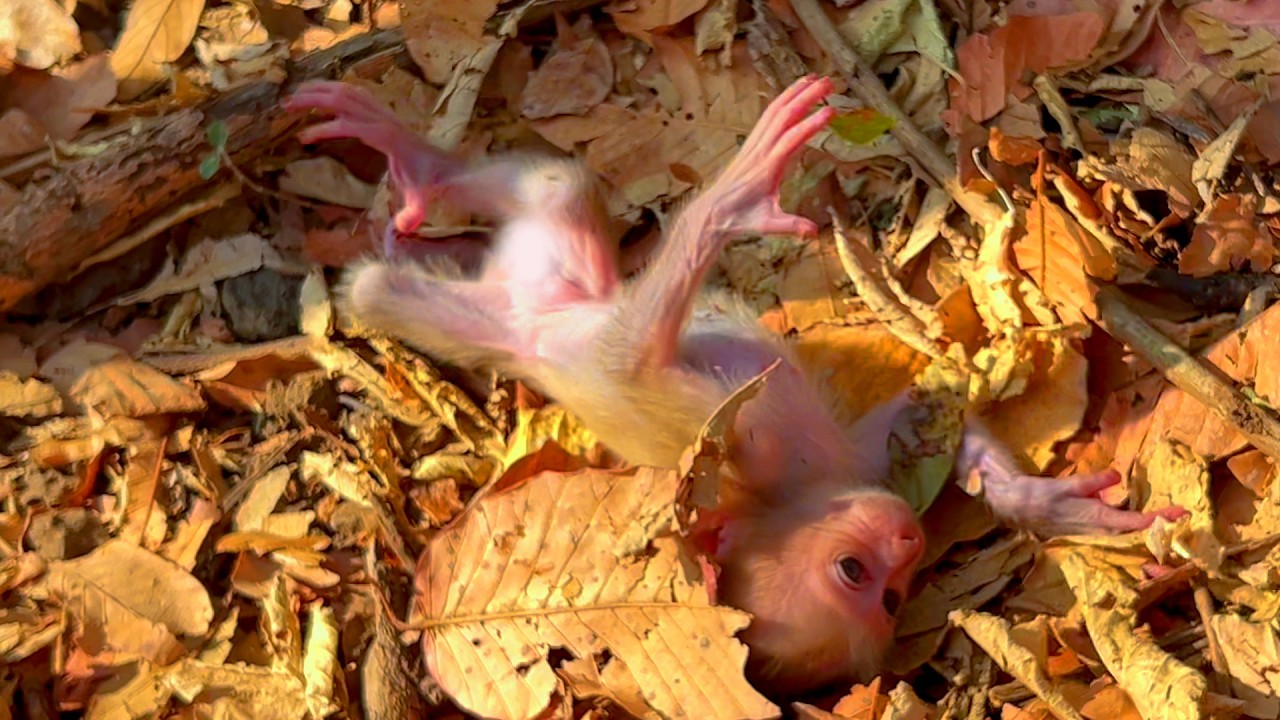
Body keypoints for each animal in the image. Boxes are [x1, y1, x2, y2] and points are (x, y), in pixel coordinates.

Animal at [285, 75, 1183, 694]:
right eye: (861, 580)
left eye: (896, 597)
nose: (909, 543)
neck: (782, 498)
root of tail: (517, 305)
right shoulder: (725, 440)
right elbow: (630, 367)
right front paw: (736, 200)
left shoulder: (861, 470)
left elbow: (930, 417)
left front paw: (1055, 507)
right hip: (497, 327)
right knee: (385, 292)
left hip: (555, 268)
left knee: (550, 192)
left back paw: (422, 173)